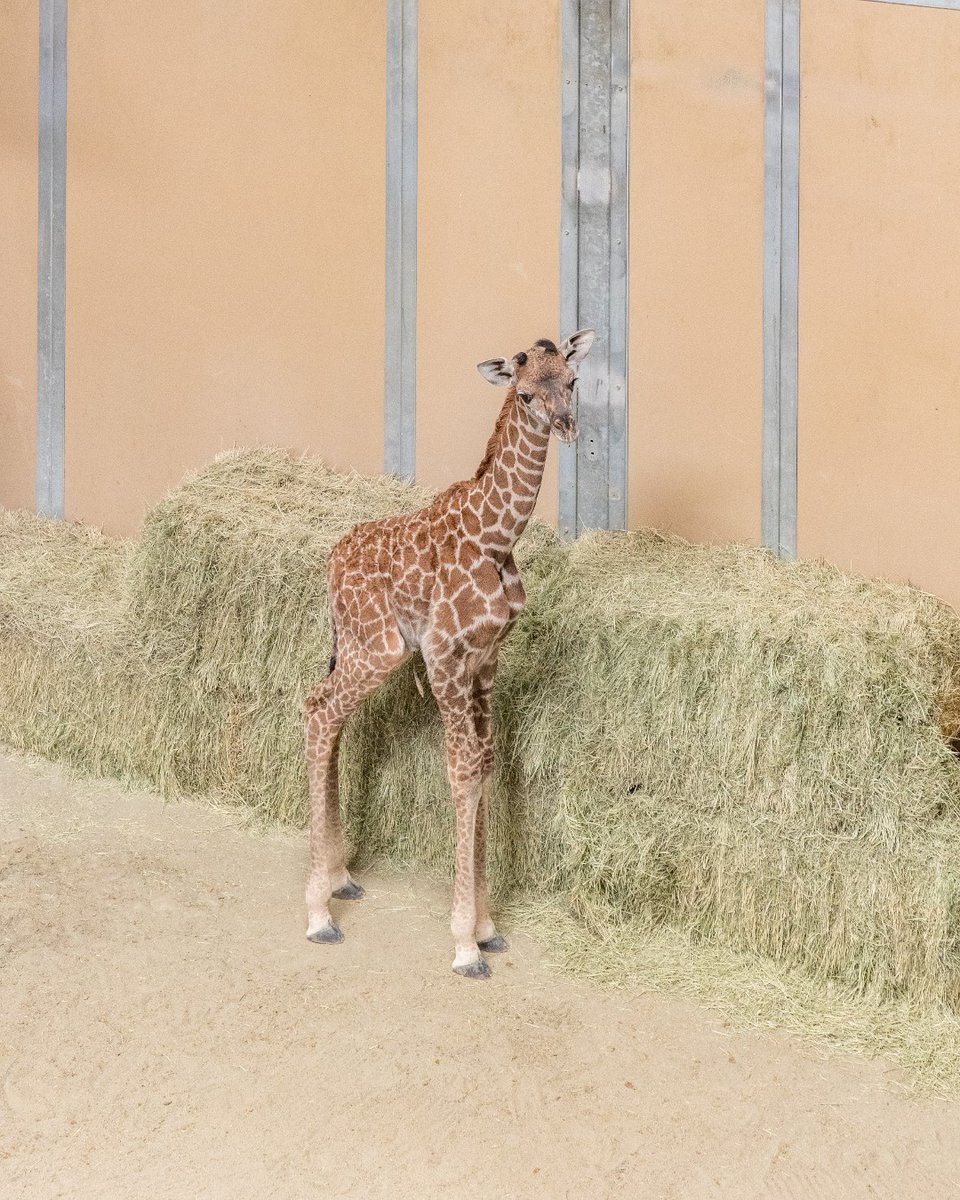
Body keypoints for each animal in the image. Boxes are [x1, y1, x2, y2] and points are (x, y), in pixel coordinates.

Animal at [303, 328, 596, 978]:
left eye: (571, 380)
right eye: (524, 393)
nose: (567, 425)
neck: (497, 538)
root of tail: (330, 564)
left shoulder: (486, 662)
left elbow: (483, 765)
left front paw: (487, 928)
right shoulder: (443, 656)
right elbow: (461, 770)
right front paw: (465, 944)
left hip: (359, 648)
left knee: (328, 715)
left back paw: (339, 877)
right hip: (379, 646)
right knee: (319, 711)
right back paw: (318, 911)